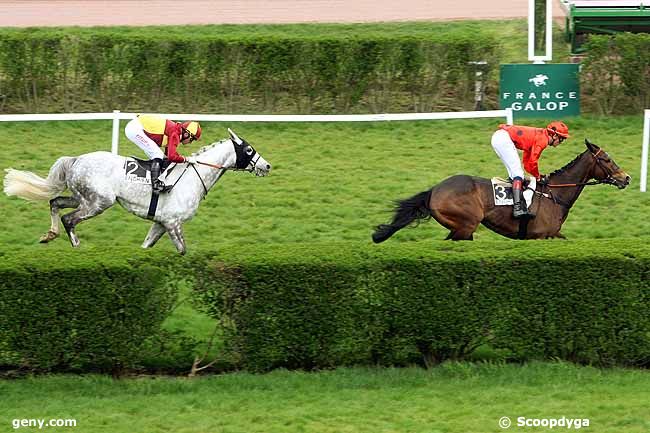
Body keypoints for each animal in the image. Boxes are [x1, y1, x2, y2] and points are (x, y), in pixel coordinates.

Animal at [3, 127, 270, 253]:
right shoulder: (173, 223)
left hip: (82, 197)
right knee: (70, 219)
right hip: (99, 202)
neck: (194, 177)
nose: (267, 165)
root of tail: (76, 160)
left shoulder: (161, 223)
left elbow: (146, 247)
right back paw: (77, 248)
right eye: (248, 150)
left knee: (55, 202)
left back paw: (49, 235)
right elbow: (183, 250)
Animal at [370, 139, 628, 241]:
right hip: (466, 225)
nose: (626, 178)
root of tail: (434, 190)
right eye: (606, 159)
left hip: (462, 229)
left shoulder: (552, 235)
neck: (554, 195)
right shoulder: (541, 235)